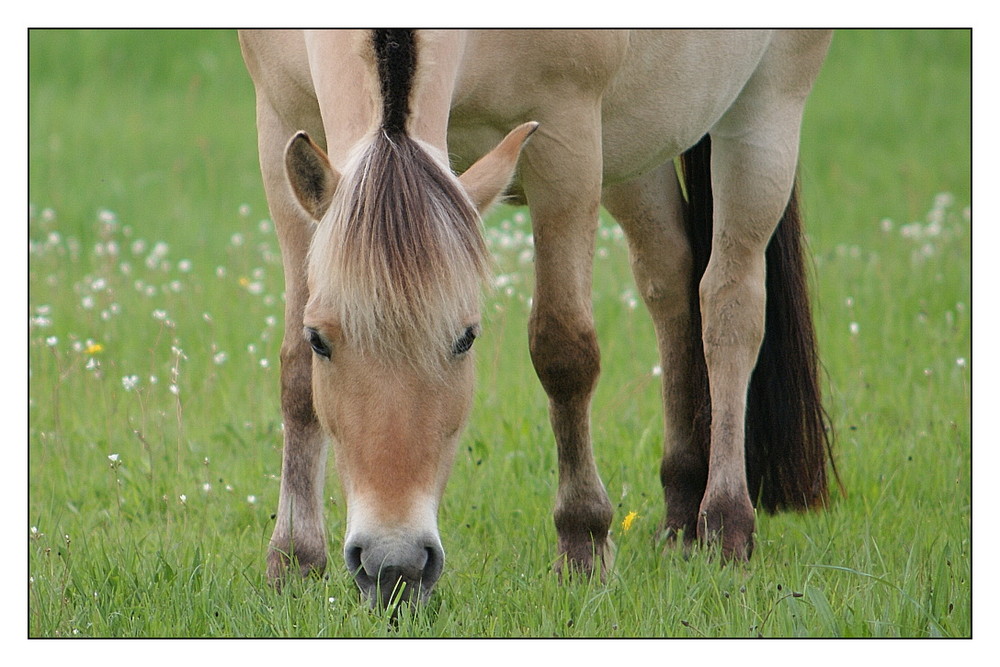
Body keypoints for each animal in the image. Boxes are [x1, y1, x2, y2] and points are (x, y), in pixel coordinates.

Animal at [238, 28, 832, 608]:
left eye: (466, 339)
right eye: (321, 340)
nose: (394, 567)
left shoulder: (567, 145)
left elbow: (564, 353)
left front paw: (583, 543)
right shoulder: (279, 131)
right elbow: (295, 376)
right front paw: (293, 561)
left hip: (764, 115)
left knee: (730, 306)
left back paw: (725, 526)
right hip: (637, 150)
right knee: (669, 277)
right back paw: (681, 512)